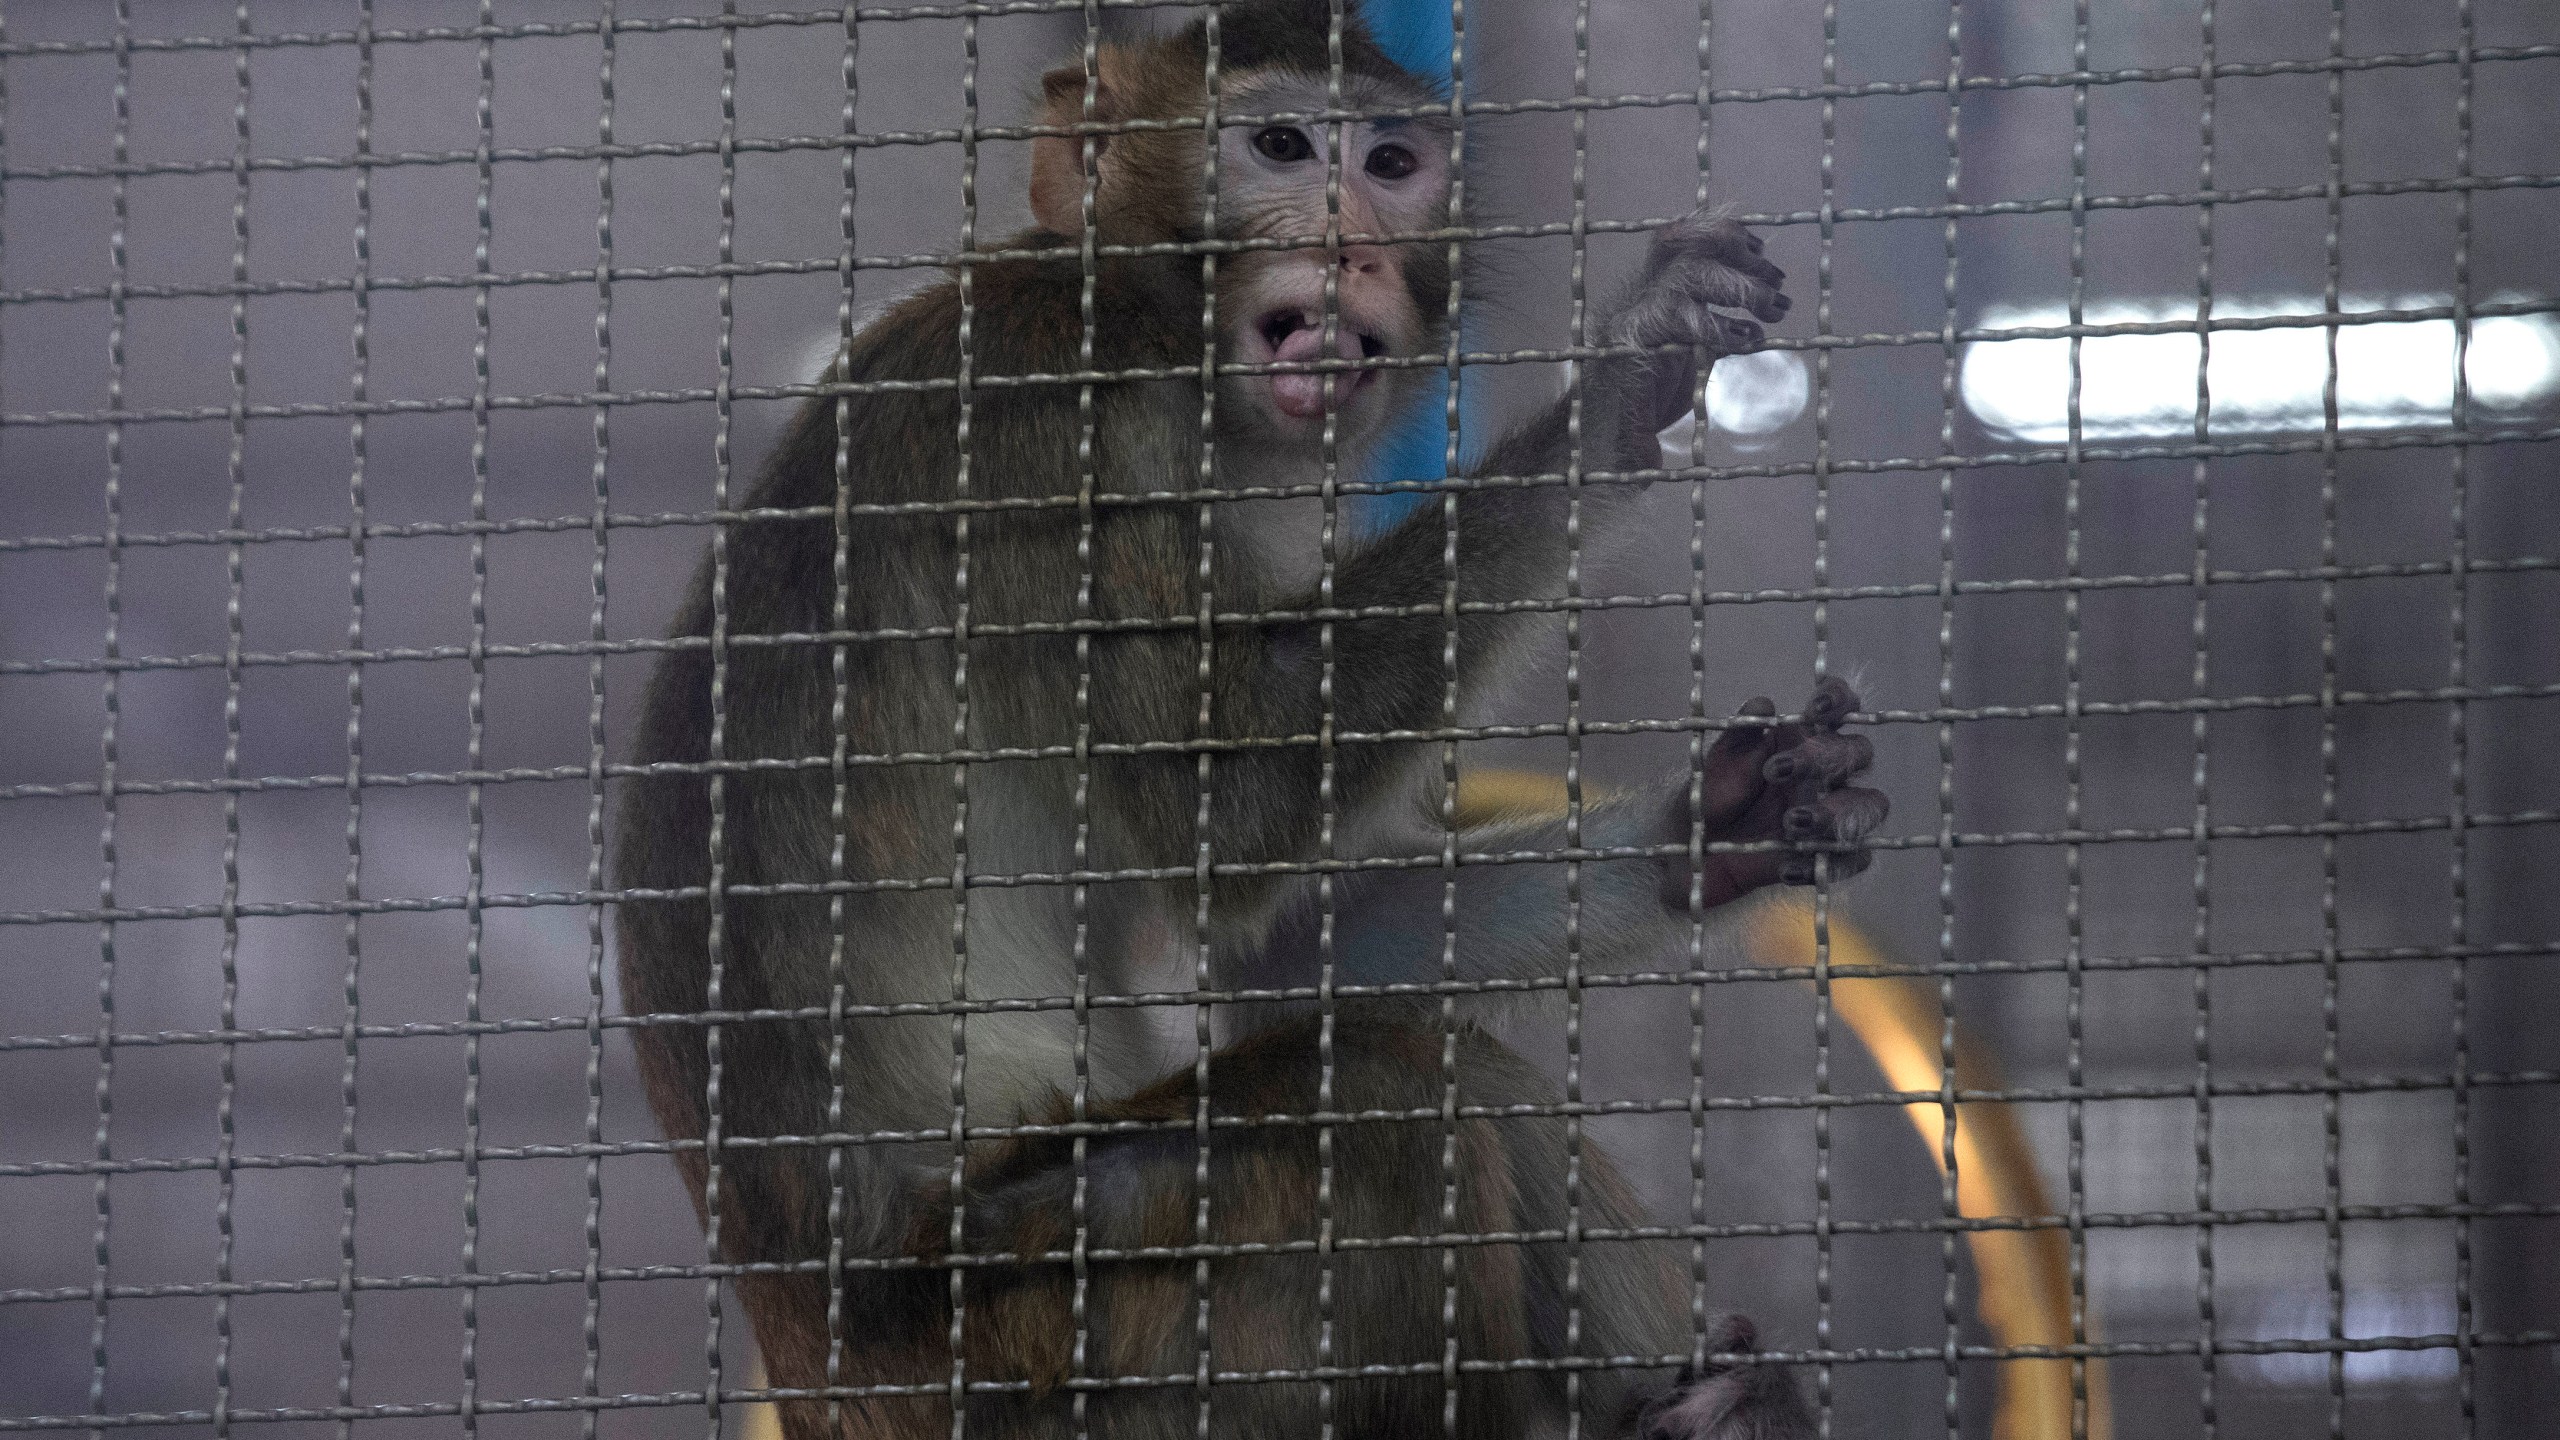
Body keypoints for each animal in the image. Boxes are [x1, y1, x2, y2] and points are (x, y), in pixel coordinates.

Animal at [611, 2, 1885, 1436]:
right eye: (1279, 147)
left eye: (1393, 163)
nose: (1351, 243)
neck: (1152, 320)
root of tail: (824, 1373)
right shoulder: (1057, 419)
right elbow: (1224, 815)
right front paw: (1619, 383)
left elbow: (1273, 961)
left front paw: (1719, 825)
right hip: (1048, 1332)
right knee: (1379, 1100)